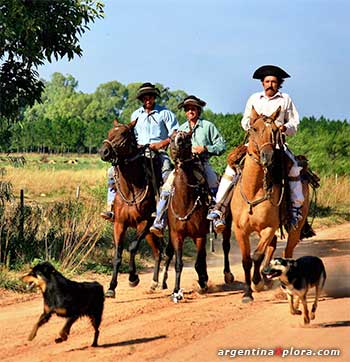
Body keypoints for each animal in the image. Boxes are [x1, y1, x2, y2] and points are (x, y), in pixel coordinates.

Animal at [99, 120, 163, 298]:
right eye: (109, 132)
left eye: (123, 134)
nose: (103, 151)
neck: (132, 189)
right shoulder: (119, 224)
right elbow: (118, 254)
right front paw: (111, 287)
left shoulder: (145, 222)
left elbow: (133, 247)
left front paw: (133, 278)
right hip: (150, 233)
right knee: (158, 252)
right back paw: (154, 284)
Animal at [161, 132, 211, 302]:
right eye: (171, 137)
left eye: (187, 139)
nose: (177, 144)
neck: (185, 202)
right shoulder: (177, 235)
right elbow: (178, 264)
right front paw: (176, 291)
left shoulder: (200, 235)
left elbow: (198, 262)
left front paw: (202, 282)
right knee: (169, 253)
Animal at [231, 107, 310, 302]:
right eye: (254, 129)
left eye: (274, 130)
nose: (267, 157)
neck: (253, 190)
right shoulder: (240, 230)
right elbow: (246, 260)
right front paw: (248, 293)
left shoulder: (268, 227)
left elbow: (257, 255)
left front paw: (257, 283)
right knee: (273, 244)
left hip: (295, 228)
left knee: (287, 252)